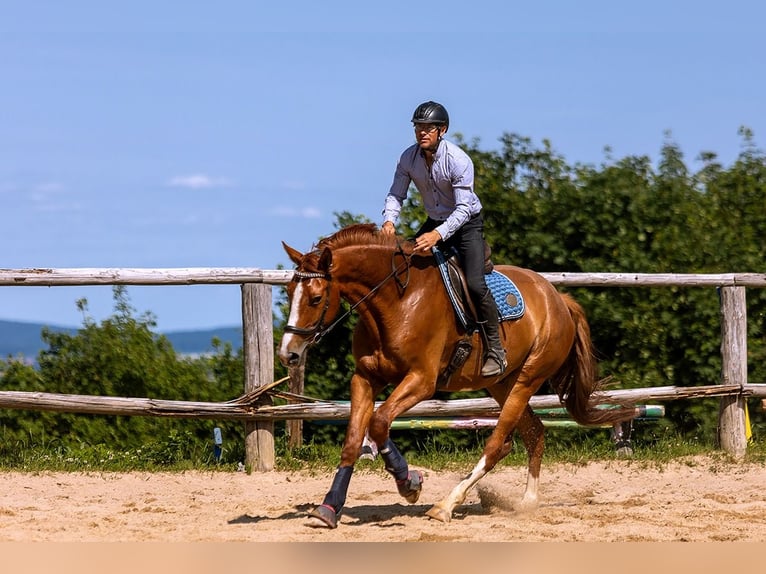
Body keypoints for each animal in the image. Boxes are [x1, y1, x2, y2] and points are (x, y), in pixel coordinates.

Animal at [278, 223, 631, 528]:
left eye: (316, 298)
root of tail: (558, 298)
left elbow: (378, 423)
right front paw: (328, 508)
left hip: (527, 379)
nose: (288, 353)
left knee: (496, 444)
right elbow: (355, 438)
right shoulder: (365, 378)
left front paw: (409, 482)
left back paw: (446, 505)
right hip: (503, 383)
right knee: (532, 434)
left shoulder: (421, 381)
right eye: (289, 292)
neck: (396, 301)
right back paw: (527, 502)